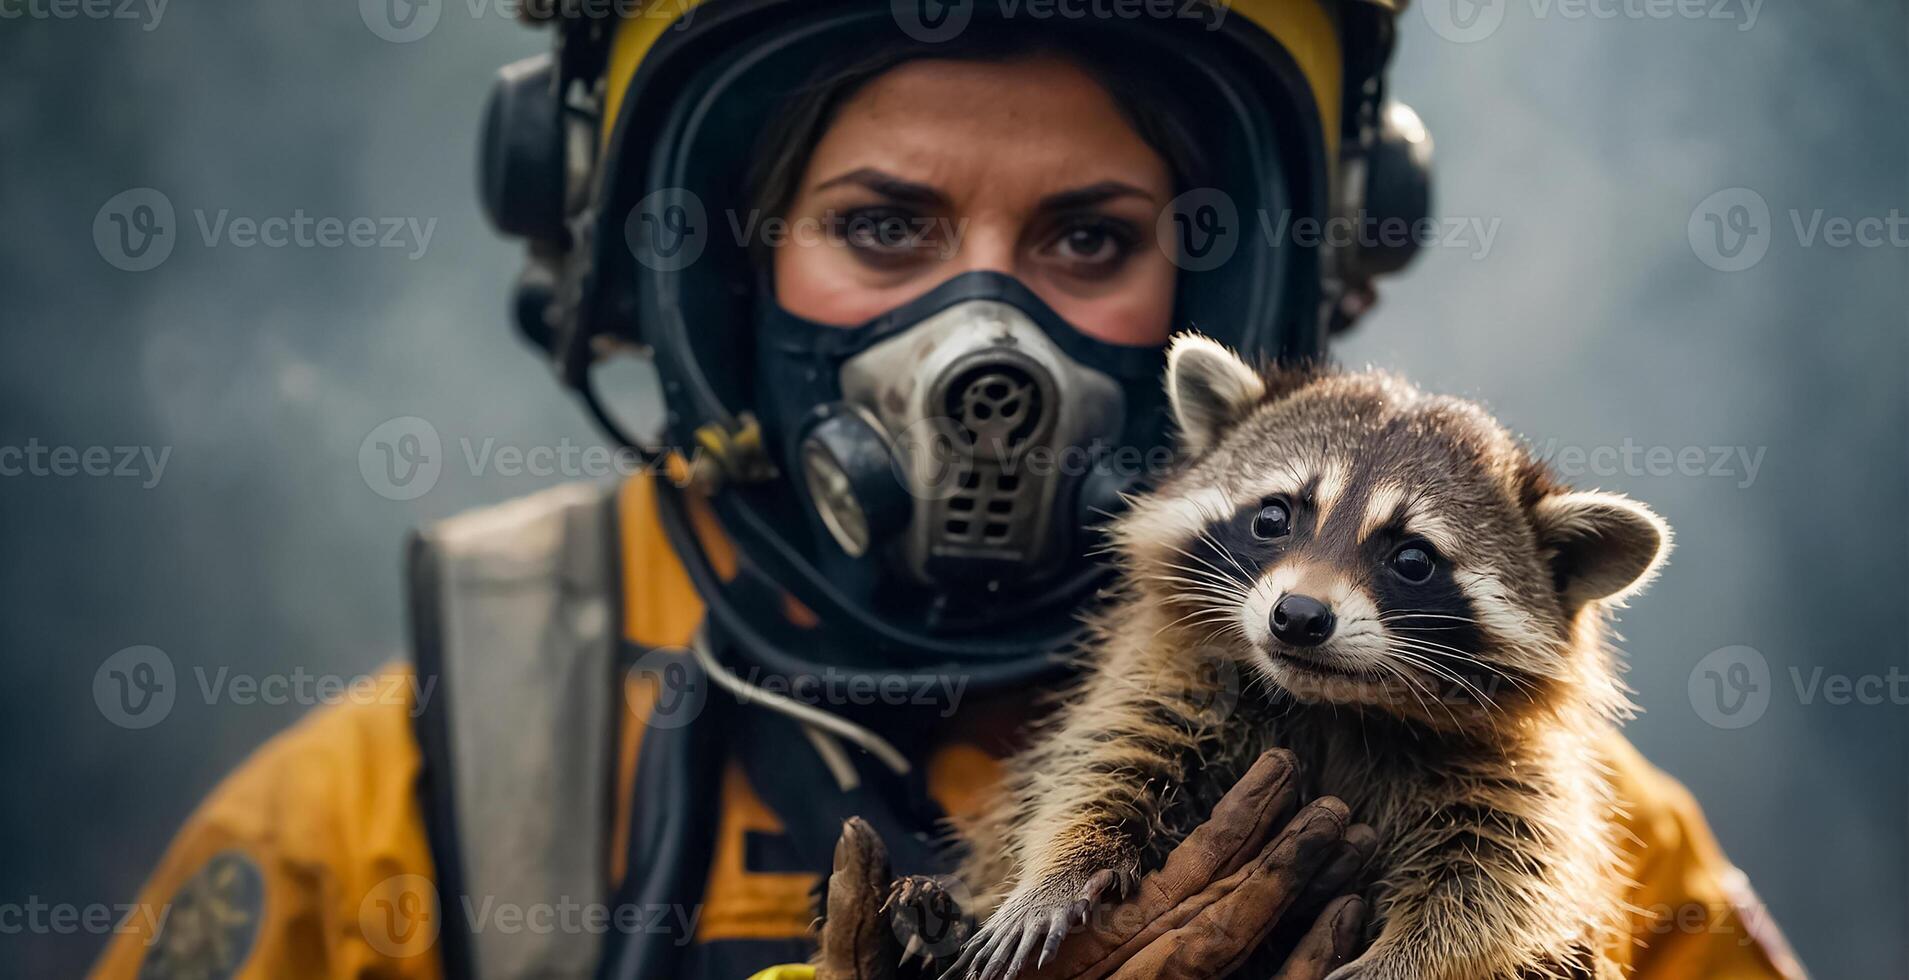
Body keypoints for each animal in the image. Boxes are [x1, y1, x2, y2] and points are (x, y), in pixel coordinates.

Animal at [950, 336, 1672, 978]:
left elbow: (1502, 875)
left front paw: (1408, 961)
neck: (1332, 704)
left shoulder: (1509, 764)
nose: (1298, 617)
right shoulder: (1172, 675)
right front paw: (1056, 873)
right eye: (1273, 517)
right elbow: (1105, 759)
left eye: (1413, 559)